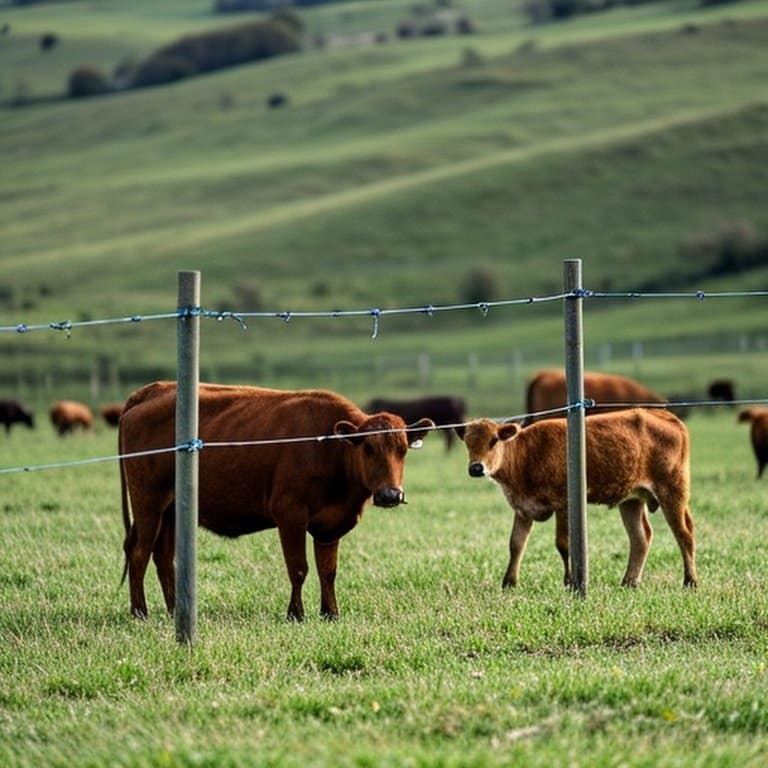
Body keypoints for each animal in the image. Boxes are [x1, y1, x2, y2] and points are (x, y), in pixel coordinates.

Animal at [118, 381, 434, 621]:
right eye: (368, 448)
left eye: (403, 449)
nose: (391, 494)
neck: (329, 449)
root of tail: (152, 390)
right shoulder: (290, 515)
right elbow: (299, 568)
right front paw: (296, 613)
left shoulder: (330, 525)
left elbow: (328, 571)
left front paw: (330, 613)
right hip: (148, 503)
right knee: (139, 552)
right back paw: (140, 612)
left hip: (170, 510)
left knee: (163, 557)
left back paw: (173, 610)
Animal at [455, 409, 697, 590]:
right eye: (467, 442)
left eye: (494, 440)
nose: (476, 468)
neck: (527, 453)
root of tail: (666, 416)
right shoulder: (523, 509)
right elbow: (516, 544)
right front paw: (509, 582)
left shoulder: (563, 504)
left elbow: (563, 544)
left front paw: (570, 581)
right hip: (631, 501)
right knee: (641, 538)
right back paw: (629, 582)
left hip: (673, 492)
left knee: (684, 534)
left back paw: (690, 581)